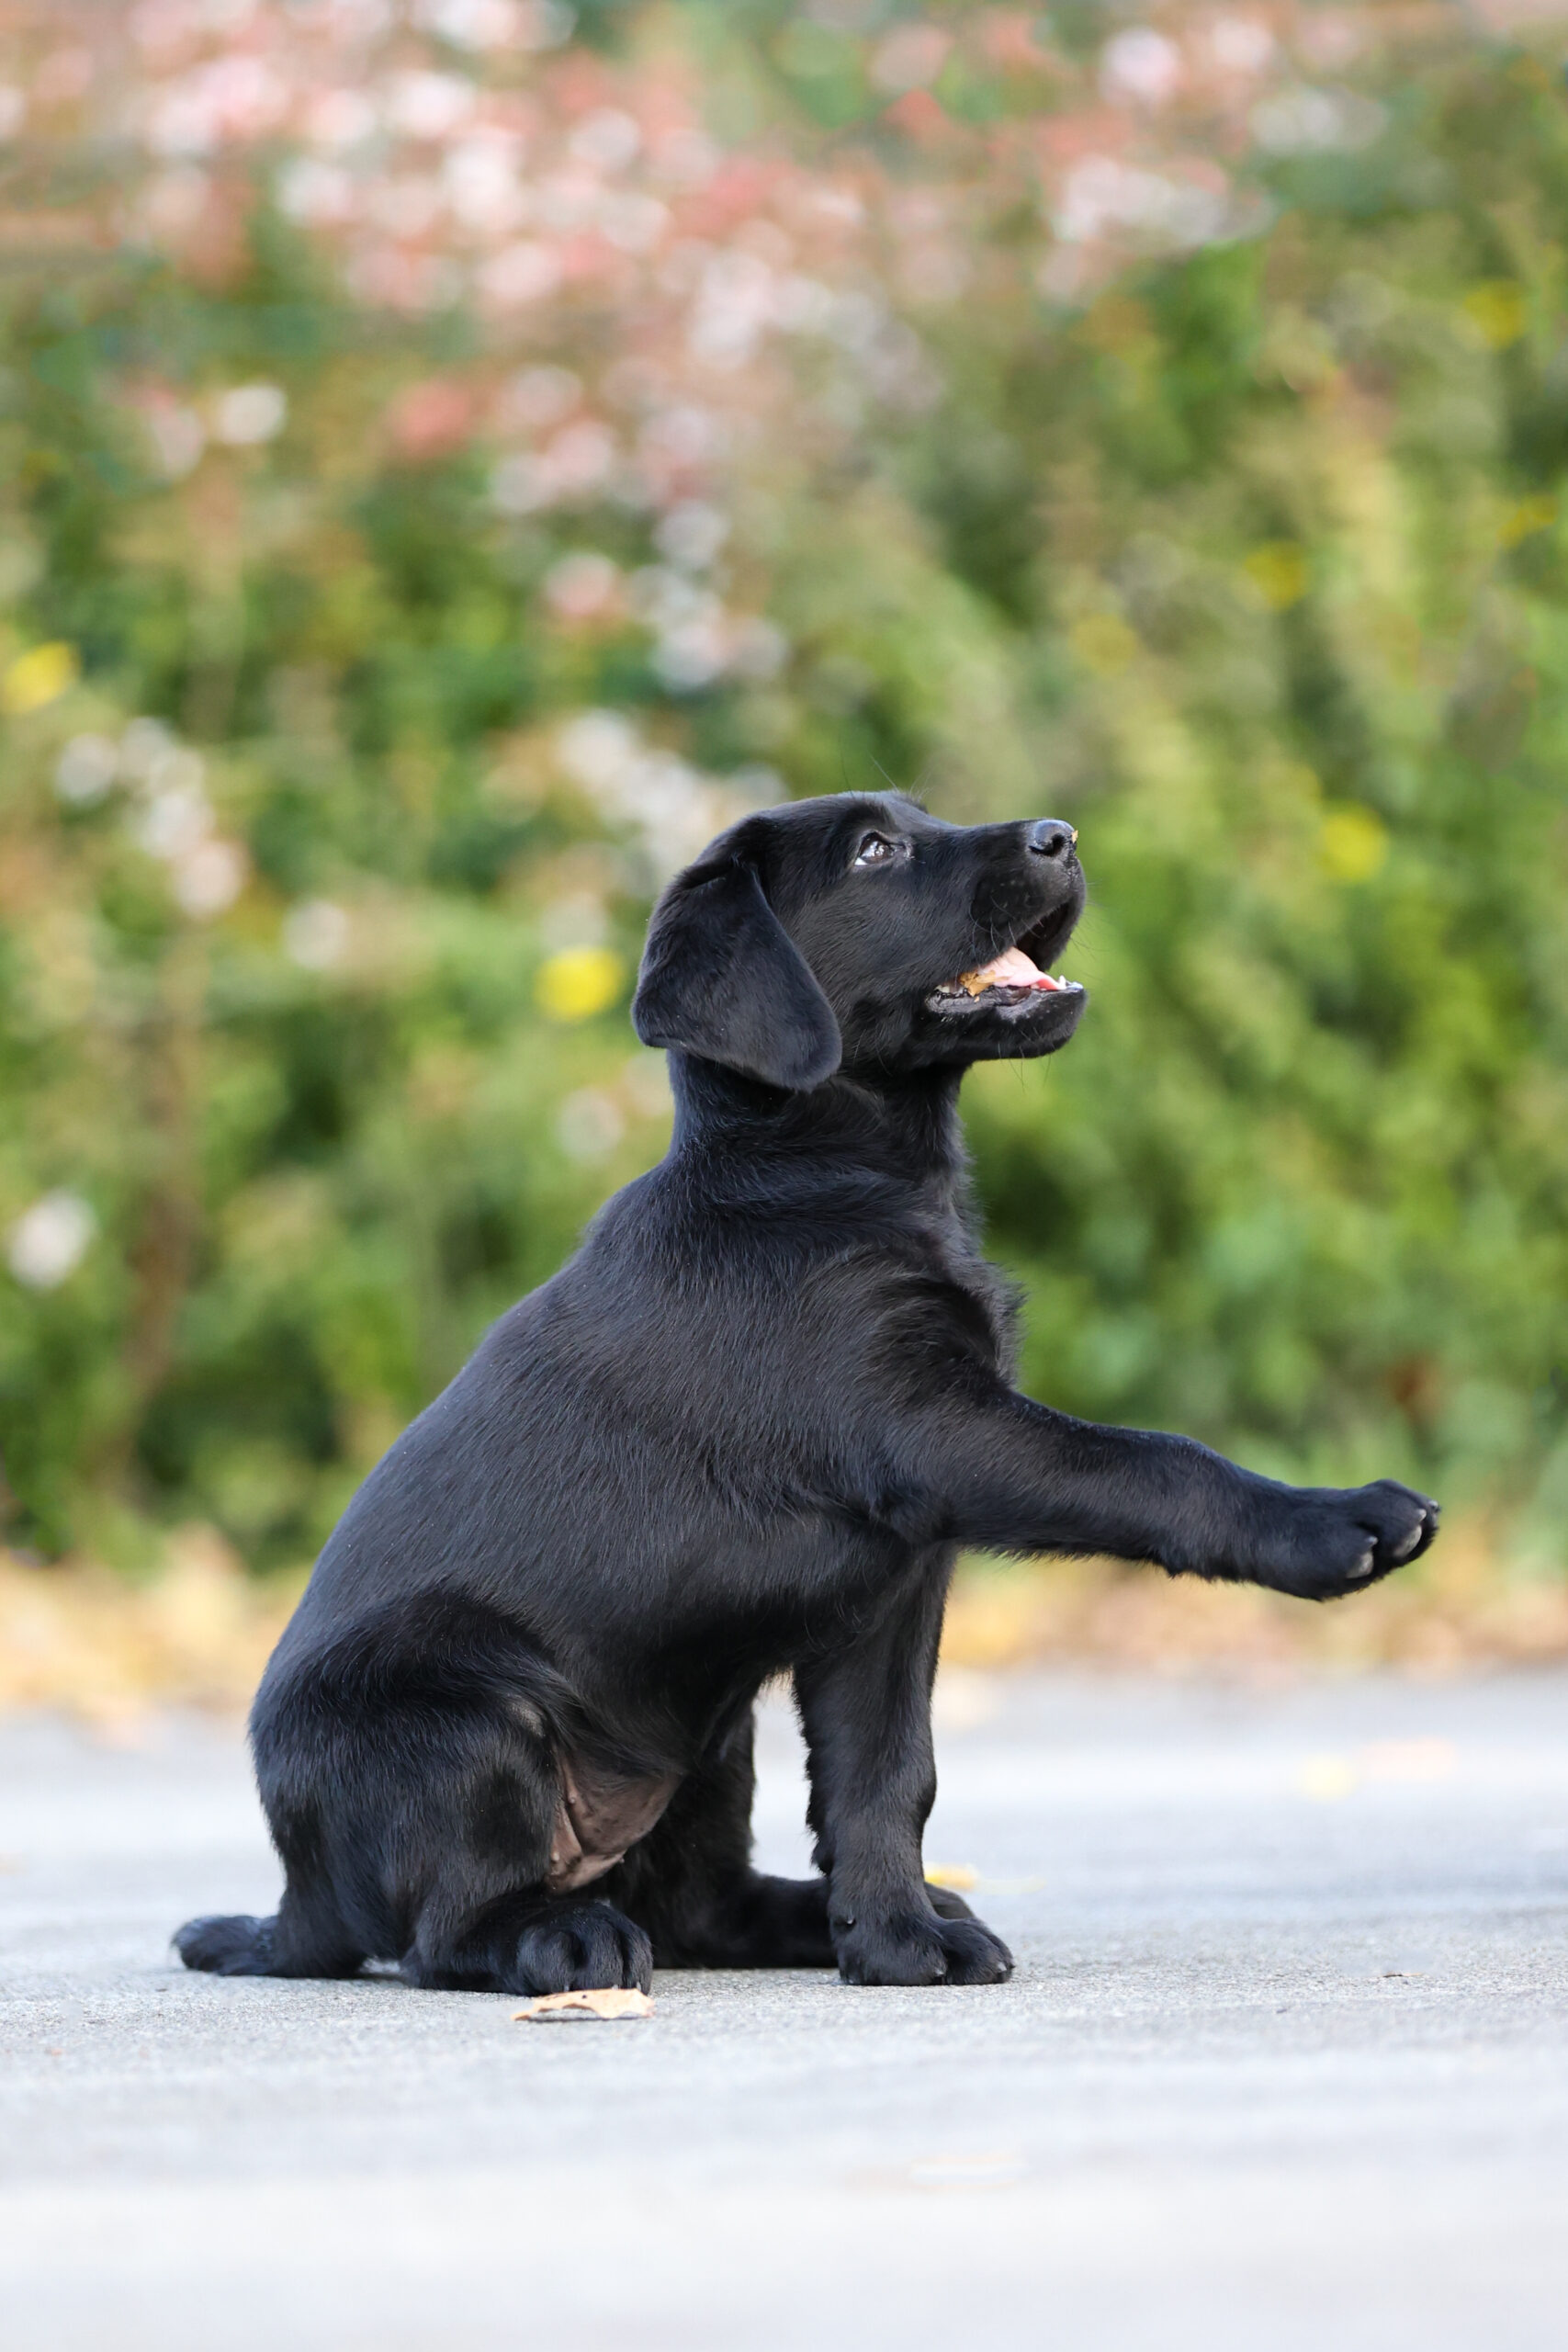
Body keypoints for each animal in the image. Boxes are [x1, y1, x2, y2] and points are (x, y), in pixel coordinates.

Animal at [177, 799, 1438, 1994]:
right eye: (875, 851)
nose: (1063, 834)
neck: (823, 1177)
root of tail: (299, 1899)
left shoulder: (889, 1590)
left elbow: (886, 1777)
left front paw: (896, 1936)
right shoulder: (934, 1432)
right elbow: (1156, 1460)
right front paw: (1334, 1519)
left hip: (706, 1732)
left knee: (696, 1903)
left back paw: (819, 1915)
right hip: (466, 1715)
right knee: (451, 1929)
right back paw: (563, 1940)